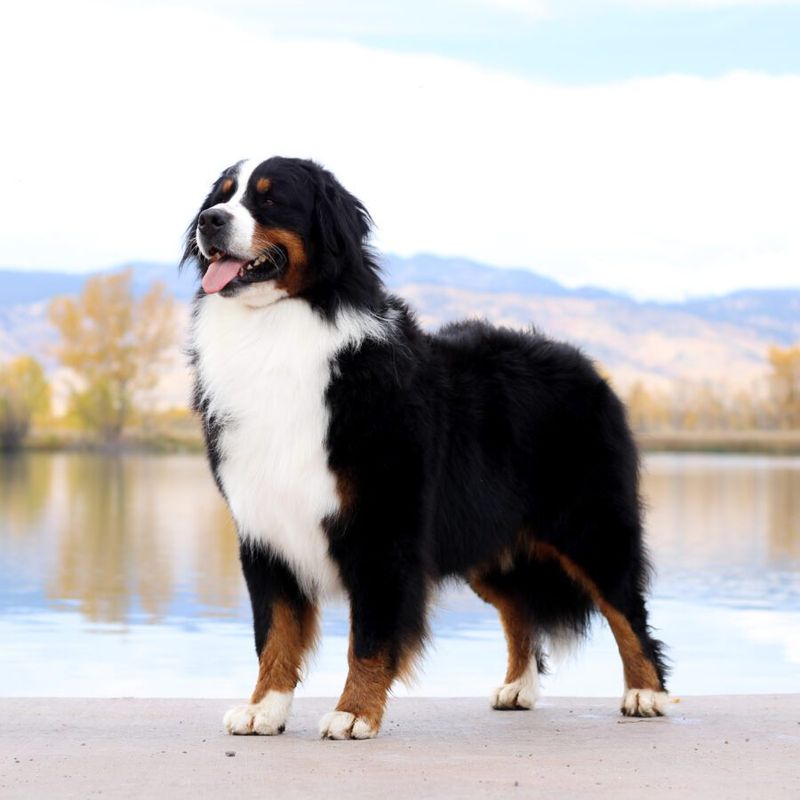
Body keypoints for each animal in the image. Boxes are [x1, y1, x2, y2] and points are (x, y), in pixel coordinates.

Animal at [181, 155, 668, 736]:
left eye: (270, 198)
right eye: (223, 194)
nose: (209, 221)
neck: (276, 333)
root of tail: (585, 366)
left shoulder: (382, 527)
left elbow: (369, 635)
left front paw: (353, 713)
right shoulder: (265, 524)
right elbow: (275, 630)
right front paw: (264, 708)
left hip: (589, 525)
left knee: (626, 608)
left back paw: (645, 692)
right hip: (484, 538)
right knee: (519, 607)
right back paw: (519, 688)